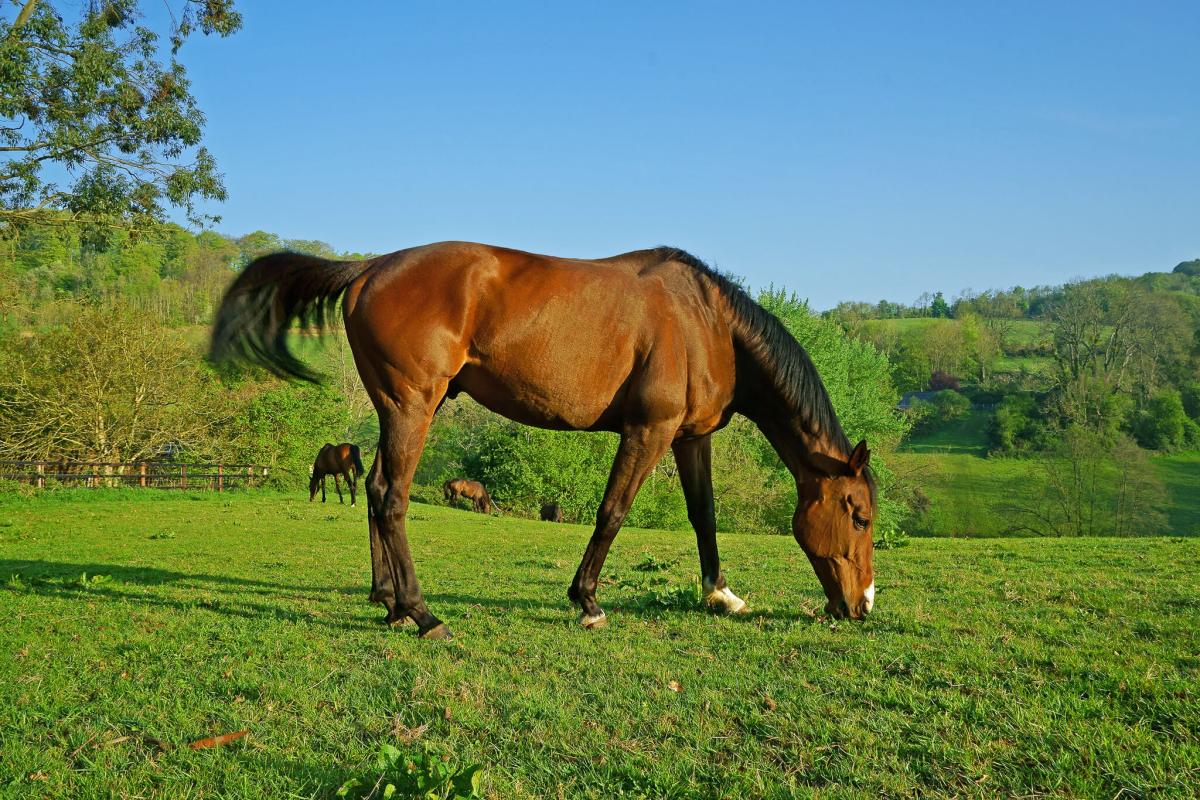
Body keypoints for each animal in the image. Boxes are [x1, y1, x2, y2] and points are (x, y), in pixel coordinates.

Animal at [211, 241, 877, 639]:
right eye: (860, 514)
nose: (863, 605)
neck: (706, 322)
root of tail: (371, 266)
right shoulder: (648, 431)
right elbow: (612, 512)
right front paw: (587, 601)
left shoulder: (689, 438)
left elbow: (703, 515)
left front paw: (720, 594)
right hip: (411, 408)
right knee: (393, 498)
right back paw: (424, 614)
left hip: (397, 410)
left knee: (375, 491)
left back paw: (389, 603)